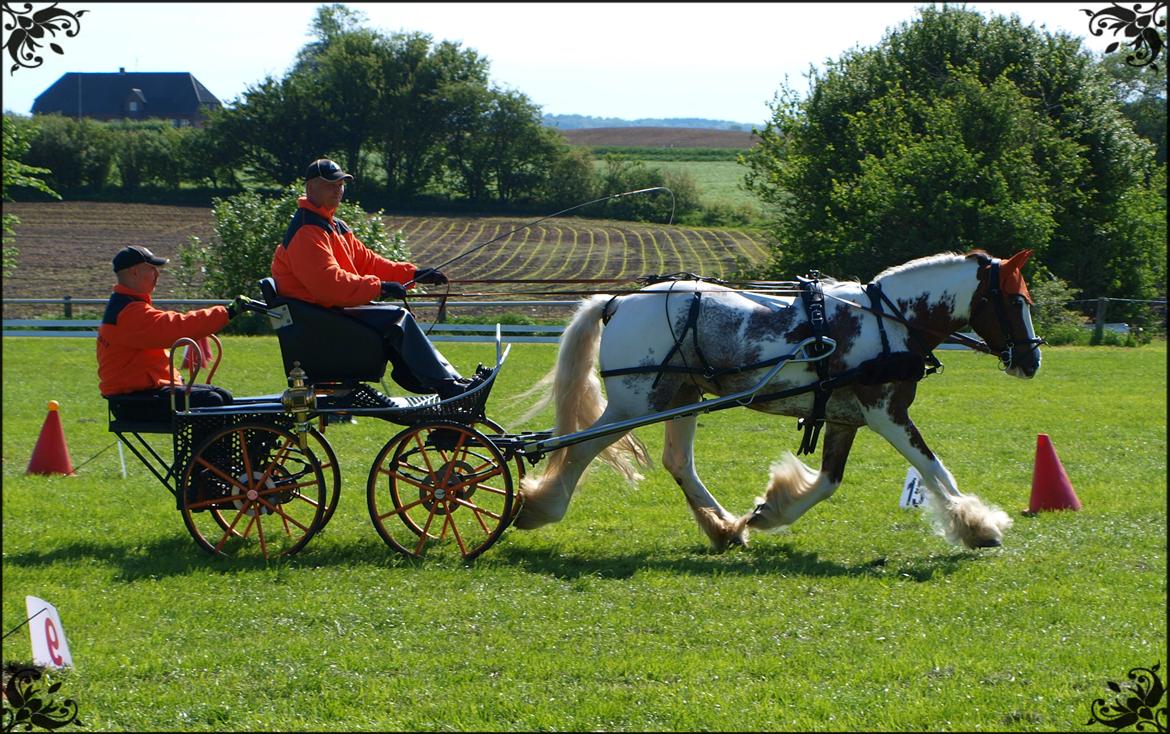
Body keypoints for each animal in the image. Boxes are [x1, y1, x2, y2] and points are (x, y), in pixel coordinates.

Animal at [517, 249, 1048, 547]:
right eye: (1014, 300)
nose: (1032, 361)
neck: (889, 320)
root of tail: (619, 300)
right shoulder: (887, 413)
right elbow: (935, 470)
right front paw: (978, 526)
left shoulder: (845, 417)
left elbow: (829, 481)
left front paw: (770, 511)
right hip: (635, 403)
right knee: (579, 449)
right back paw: (538, 508)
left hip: (680, 396)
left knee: (677, 462)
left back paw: (724, 529)